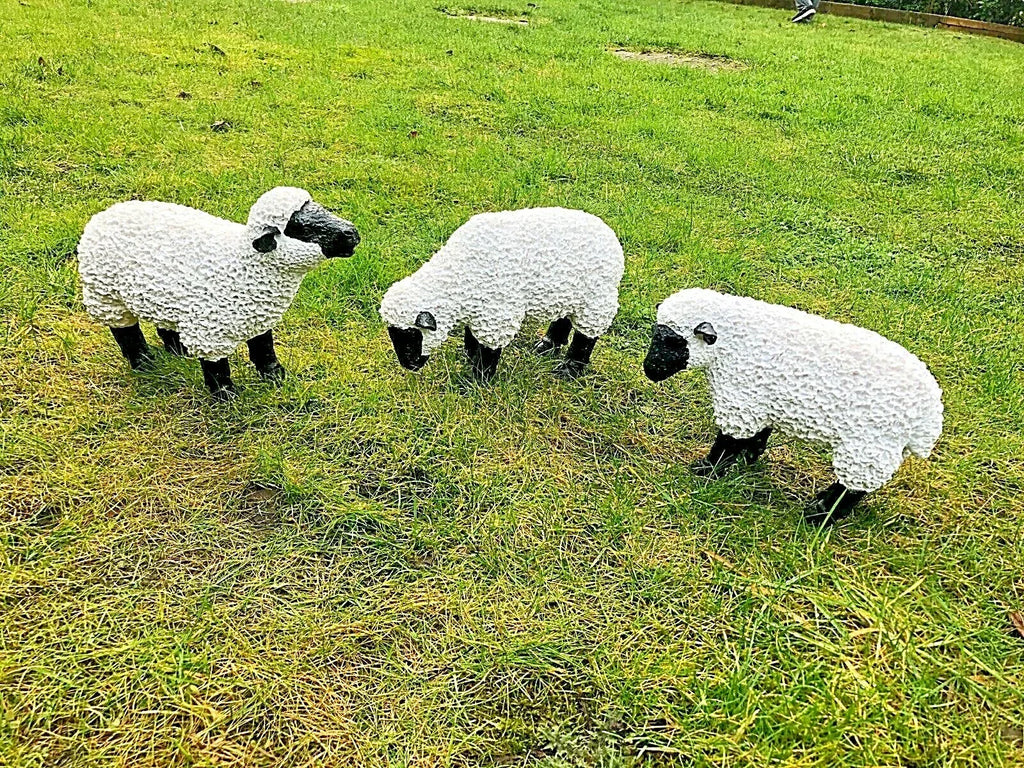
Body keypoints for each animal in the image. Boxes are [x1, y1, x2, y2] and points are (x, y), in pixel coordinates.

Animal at [77, 186, 360, 399]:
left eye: (321, 208)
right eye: (301, 228)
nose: (352, 234)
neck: (247, 265)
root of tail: (102, 215)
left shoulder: (257, 315)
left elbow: (264, 348)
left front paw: (275, 376)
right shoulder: (210, 332)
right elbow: (217, 368)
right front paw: (226, 397)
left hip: (162, 296)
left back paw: (179, 352)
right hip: (106, 295)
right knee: (126, 333)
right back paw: (144, 363)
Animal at [379, 207, 624, 381]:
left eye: (412, 336)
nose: (409, 366)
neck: (458, 273)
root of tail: (611, 238)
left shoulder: (497, 312)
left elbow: (489, 347)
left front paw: (479, 379)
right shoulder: (480, 305)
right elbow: (472, 335)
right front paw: (470, 356)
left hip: (597, 300)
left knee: (587, 335)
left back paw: (569, 370)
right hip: (568, 293)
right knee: (563, 318)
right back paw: (546, 346)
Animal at [642, 288, 943, 524]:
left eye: (675, 341)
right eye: (657, 333)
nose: (649, 370)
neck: (730, 344)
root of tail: (929, 420)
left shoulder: (740, 400)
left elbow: (727, 442)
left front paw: (706, 470)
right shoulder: (757, 402)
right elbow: (757, 436)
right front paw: (748, 458)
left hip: (867, 446)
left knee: (853, 487)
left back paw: (819, 514)